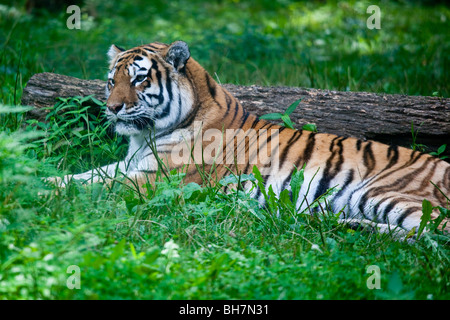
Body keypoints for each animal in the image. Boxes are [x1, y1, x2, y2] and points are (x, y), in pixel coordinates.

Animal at [56, 40, 450, 238]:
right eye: (112, 80)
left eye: (138, 79)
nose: (111, 108)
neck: (147, 135)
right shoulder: (129, 165)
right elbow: (81, 176)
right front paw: (45, 179)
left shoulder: (155, 179)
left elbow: (89, 188)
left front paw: (44, 194)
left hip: (383, 192)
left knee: (434, 232)